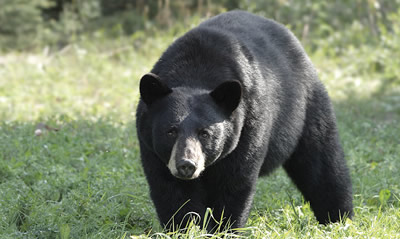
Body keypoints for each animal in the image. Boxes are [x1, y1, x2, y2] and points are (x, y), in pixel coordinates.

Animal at [137, 10, 354, 232]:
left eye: (205, 133)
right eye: (170, 131)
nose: (187, 165)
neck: (194, 74)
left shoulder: (247, 126)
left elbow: (234, 184)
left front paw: (224, 229)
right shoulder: (151, 146)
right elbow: (171, 190)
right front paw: (185, 229)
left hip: (306, 108)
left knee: (321, 164)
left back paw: (338, 219)